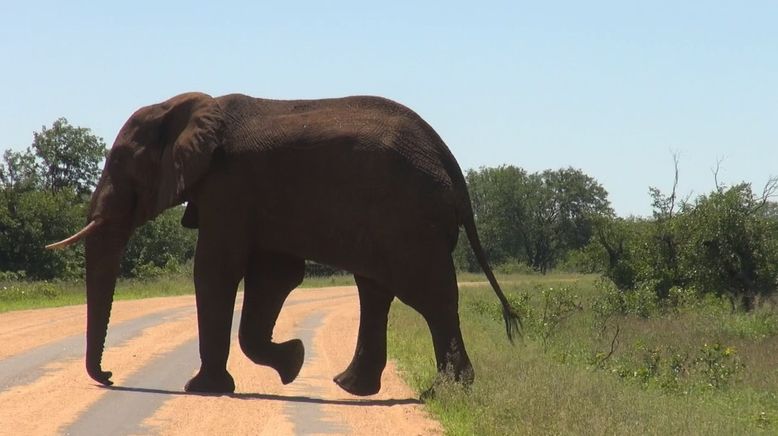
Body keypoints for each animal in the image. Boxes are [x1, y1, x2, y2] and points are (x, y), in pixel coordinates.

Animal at [51, 92, 520, 396]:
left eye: (120, 164)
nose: (110, 377)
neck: (189, 107)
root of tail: (450, 161)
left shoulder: (229, 186)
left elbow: (216, 270)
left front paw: (202, 389)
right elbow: (273, 276)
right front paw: (293, 362)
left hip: (411, 220)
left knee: (429, 296)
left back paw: (447, 392)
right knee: (375, 290)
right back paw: (352, 387)